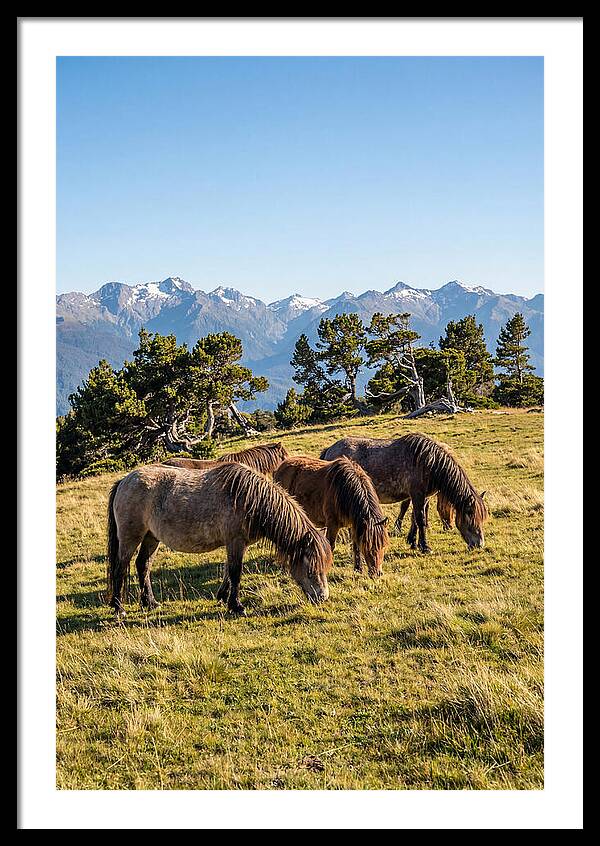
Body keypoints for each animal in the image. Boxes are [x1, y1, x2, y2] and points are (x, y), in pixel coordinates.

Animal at [106, 462, 332, 617]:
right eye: (311, 569)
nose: (322, 597)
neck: (249, 499)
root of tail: (124, 481)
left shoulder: (237, 544)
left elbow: (227, 571)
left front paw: (223, 597)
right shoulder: (235, 542)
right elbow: (236, 572)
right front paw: (237, 606)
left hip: (151, 538)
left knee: (143, 565)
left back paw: (150, 602)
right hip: (130, 537)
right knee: (120, 567)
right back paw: (119, 607)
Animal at [320, 433, 487, 552]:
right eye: (471, 516)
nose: (479, 544)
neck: (428, 461)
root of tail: (329, 449)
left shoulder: (423, 497)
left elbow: (415, 518)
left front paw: (413, 542)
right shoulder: (417, 494)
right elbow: (420, 519)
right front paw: (425, 547)